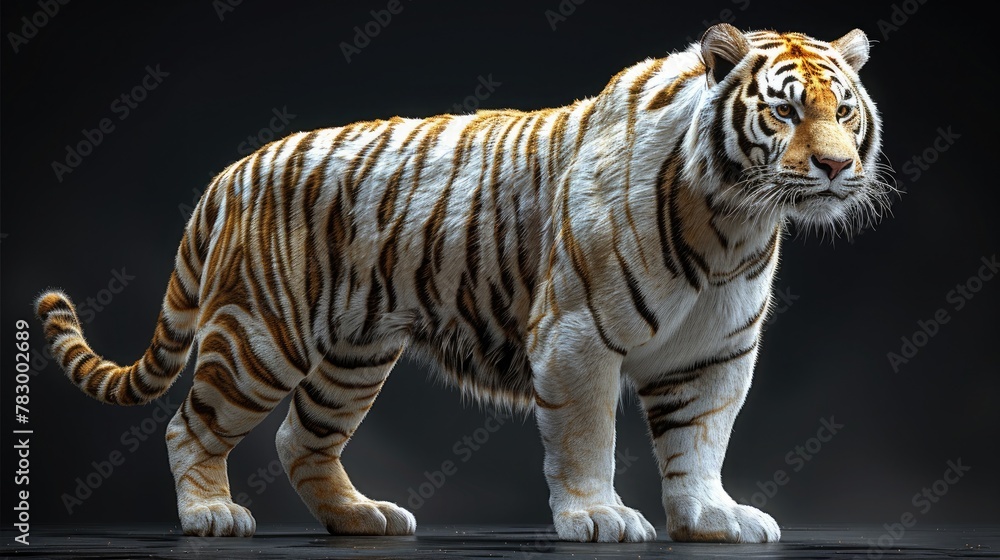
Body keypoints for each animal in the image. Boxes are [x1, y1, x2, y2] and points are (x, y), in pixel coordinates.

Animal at [35, 23, 892, 543]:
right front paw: (599, 517)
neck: (735, 220)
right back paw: (212, 515)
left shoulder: (715, 353)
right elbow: (588, 438)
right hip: (259, 338)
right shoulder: (577, 337)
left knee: (299, 438)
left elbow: (700, 440)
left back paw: (361, 516)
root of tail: (236, 167)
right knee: (192, 426)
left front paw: (711, 516)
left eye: (845, 112)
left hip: (353, 357)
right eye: (784, 113)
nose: (836, 166)